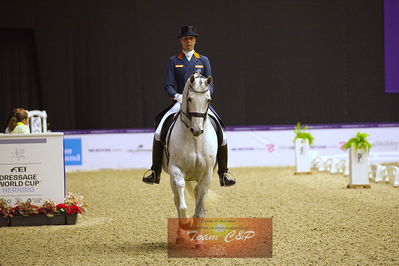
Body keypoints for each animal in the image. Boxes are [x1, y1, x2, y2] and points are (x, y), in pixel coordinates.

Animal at [163, 72, 219, 247]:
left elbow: (200, 207)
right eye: (189, 99)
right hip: (172, 177)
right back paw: (181, 234)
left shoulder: (207, 174)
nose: (197, 130)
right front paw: (186, 223)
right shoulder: (176, 170)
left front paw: (198, 238)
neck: (194, 139)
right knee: (176, 198)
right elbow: (181, 198)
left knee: (196, 192)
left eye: (208, 100)